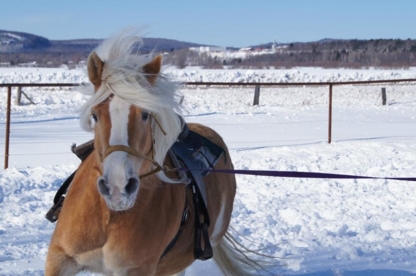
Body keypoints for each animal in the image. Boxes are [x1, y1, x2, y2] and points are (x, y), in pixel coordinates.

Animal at [45, 29, 272, 274]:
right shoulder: (59, 259)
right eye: (95, 116)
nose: (118, 187)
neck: (109, 217)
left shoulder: (137, 269)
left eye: (145, 114)